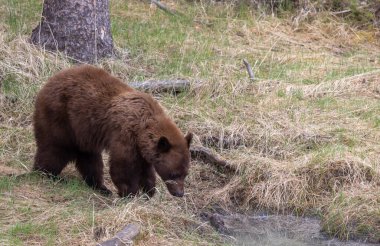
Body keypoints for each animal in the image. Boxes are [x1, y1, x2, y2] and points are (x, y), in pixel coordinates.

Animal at [32, 64, 193, 197]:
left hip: (83, 132)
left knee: (89, 158)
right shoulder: (125, 135)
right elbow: (123, 166)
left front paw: (149, 190)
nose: (179, 193)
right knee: (54, 148)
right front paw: (130, 193)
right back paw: (46, 174)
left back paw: (101, 187)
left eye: (185, 173)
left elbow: (146, 169)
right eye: (174, 174)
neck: (143, 127)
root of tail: (47, 83)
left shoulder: (141, 147)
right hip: (60, 116)